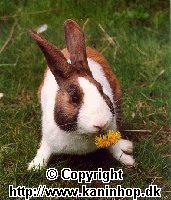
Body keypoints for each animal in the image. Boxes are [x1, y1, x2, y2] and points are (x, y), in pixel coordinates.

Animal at [27, 19, 135, 170]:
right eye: (74, 98)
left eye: (101, 90)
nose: (101, 124)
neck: (82, 133)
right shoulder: (48, 138)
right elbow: (44, 150)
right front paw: (35, 166)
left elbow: (115, 149)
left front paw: (128, 160)